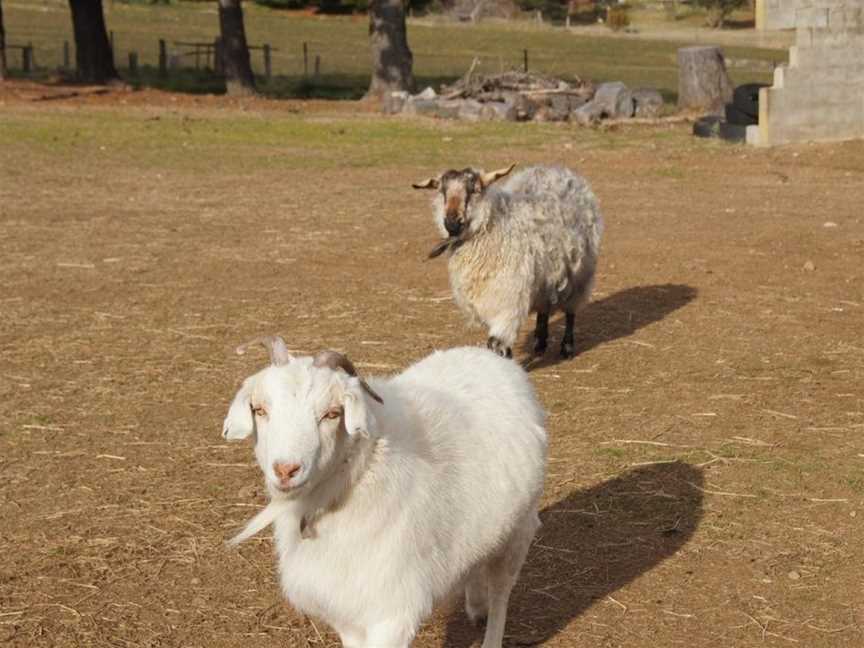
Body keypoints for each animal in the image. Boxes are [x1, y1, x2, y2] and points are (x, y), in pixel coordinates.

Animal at [223, 336, 548, 644]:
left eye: (332, 413)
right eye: (259, 410)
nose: (286, 469)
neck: (357, 476)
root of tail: (490, 357)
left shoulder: (393, 614)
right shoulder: (346, 615)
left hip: (519, 529)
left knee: (501, 593)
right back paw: (476, 606)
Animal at [416, 163, 604, 360]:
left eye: (475, 190)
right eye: (442, 191)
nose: (451, 223)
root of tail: (557, 169)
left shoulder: (508, 304)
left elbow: (496, 345)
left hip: (580, 276)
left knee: (570, 310)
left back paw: (567, 347)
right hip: (546, 278)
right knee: (544, 308)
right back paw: (540, 342)